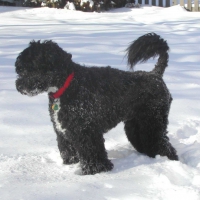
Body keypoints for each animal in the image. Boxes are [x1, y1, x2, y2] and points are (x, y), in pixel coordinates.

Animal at [15, 32, 178, 175]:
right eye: (21, 68)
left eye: (33, 66)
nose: (19, 86)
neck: (68, 85)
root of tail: (155, 75)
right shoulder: (63, 131)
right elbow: (69, 151)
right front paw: (71, 165)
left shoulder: (86, 132)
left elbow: (92, 155)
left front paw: (96, 171)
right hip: (136, 125)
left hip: (153, 122)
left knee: (163, 144)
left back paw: (169, 159)